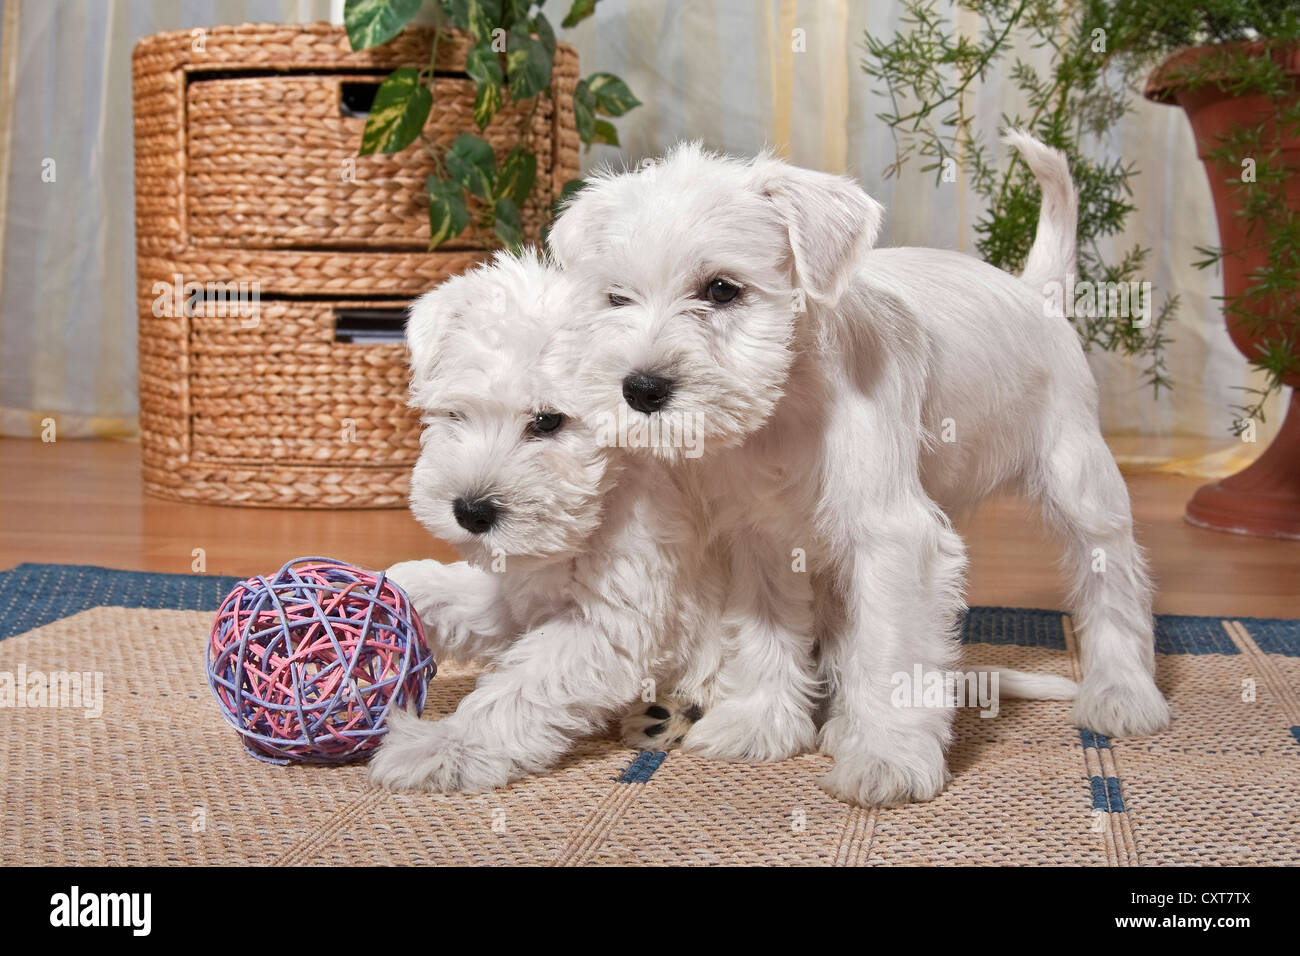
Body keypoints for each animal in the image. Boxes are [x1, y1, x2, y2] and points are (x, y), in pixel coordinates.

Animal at [369, 251, 1076, 796]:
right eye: (454, 416)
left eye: (548, 422)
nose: (470, 511)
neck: (610, 493)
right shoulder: (517, 598)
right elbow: (435, 587)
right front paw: (387, 598)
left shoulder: (616, 624)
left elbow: (515, 691)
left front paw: (440, 748)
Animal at [548, 132, 1170, 806]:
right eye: (617, 298)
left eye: (721, 289)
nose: (641, 389)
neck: (789, 406)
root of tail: (1035, 292)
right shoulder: (761, 540)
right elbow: (766, 636)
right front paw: (759, 726)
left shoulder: (893, 539)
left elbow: (889, 653)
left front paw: (886, 759)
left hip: (1079, 481)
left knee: (1113, 581)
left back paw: (1122, 694)